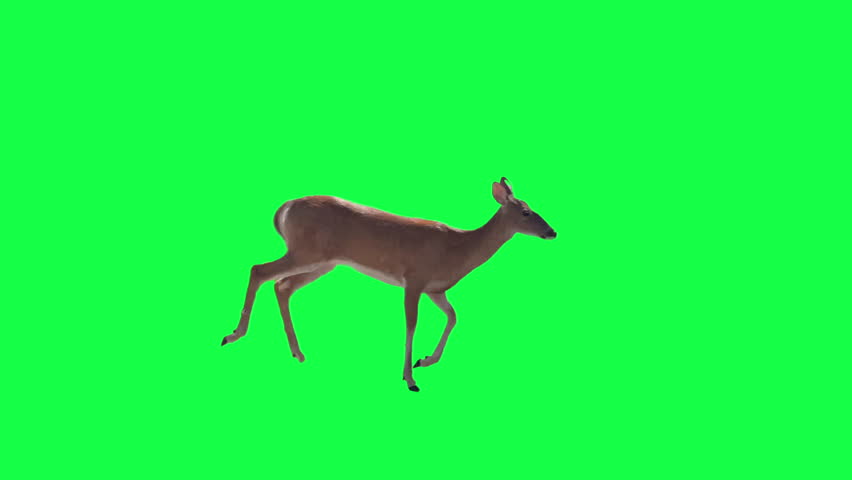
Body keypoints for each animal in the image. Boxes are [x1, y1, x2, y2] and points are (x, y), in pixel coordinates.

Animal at [222, 177, 557, 391]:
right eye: (526, 211)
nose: (552, 232)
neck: (458, 248)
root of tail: (284, 208)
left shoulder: (436, 289)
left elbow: (454, 317)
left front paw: (426, 360)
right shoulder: (415, 278)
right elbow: (411, 324)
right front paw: (410, 378)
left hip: (323, 261)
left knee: (282, 286)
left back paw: (297, 352)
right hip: (306, 250)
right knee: (259, 271)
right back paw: (233, 335)